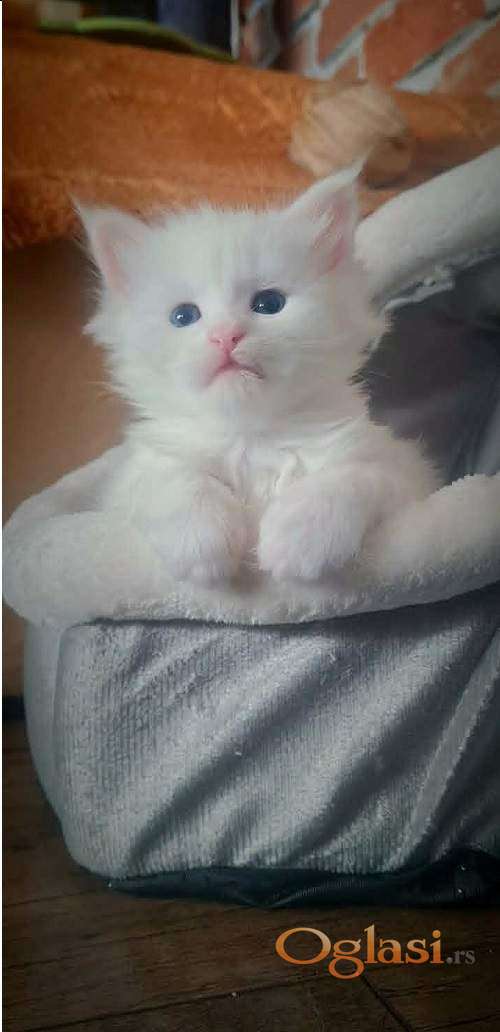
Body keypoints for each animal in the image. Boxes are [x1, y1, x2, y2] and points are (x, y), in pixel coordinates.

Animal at [79, 169, 438, 587]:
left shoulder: (407, 473)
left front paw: (298, 538)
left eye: (269, 304)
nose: (226, 335)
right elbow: (169, 479)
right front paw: (202, 541)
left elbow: (352, 478)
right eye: (183, 316)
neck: (250, 440)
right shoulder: (129, 483)